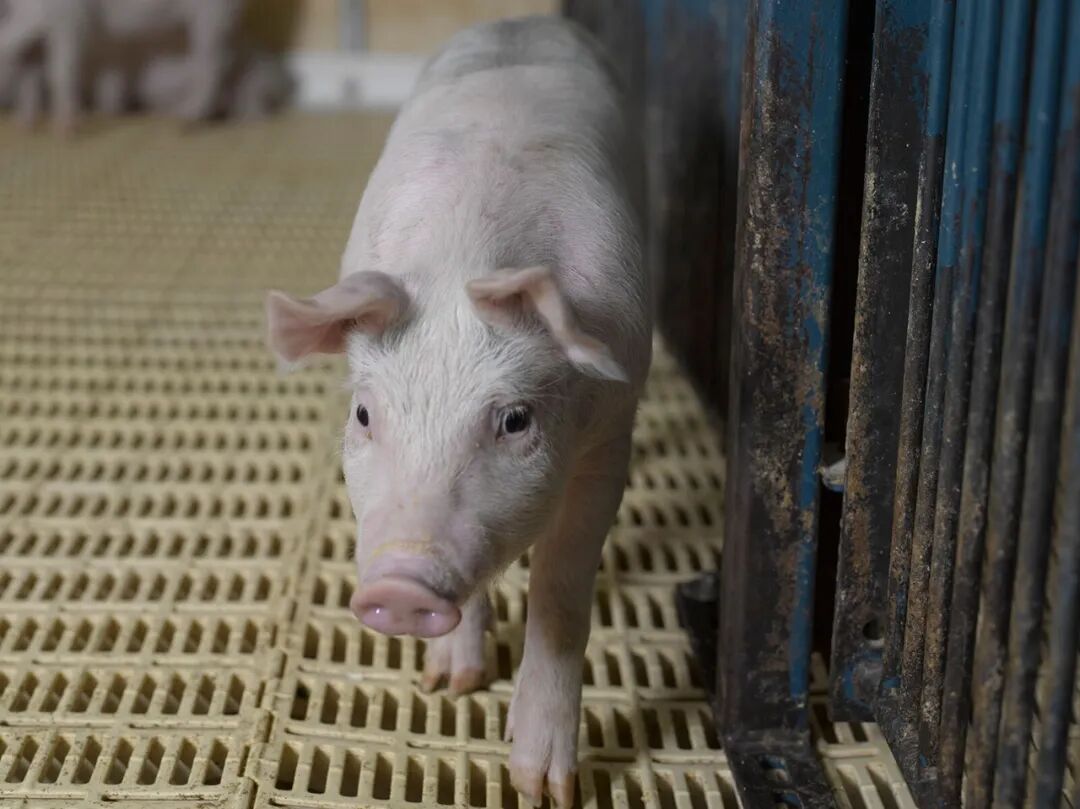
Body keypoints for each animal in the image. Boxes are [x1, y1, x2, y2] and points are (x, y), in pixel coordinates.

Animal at [0, 0, 244, 132]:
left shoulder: (70, 17)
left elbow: (61, 71)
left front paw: (66, 133)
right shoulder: (33, 45)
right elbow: (30, 78)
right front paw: (25, 127)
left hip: (212, 13)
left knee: (214, 63)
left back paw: (181, 124)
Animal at [264, 16, 649, 808]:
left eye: (516, 421)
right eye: (364, 415)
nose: (399, 585)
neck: (466, 257)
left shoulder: (612, 432)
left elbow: (561, 587)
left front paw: (544, 788)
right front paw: (450, 687)